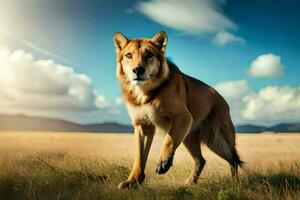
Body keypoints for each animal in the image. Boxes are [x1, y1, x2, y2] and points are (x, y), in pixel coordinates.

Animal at [113, 30, 243, 188]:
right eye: (128, 55)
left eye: (149, 55)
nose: (138, 70)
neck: (144, 93)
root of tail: (222, 98)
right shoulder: (143, 126)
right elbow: (139, 157)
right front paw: (133, 181)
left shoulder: (183, 117)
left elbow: (169, 140)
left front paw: (163, 162)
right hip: (189, 137)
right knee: (201, 160)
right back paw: (190, 183)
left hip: (216, 139)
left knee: (233, 159)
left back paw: (235, 184)